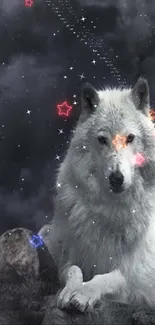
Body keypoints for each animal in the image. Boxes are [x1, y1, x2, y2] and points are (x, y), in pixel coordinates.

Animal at [39, 78, 155, 312]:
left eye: (130, 138)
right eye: (102, 139)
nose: (116, 178)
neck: (111, 209)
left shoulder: (139, 277)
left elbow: (112, 277)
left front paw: (84, 293)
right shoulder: (67, 256)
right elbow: (73, 269)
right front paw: (70, 290)